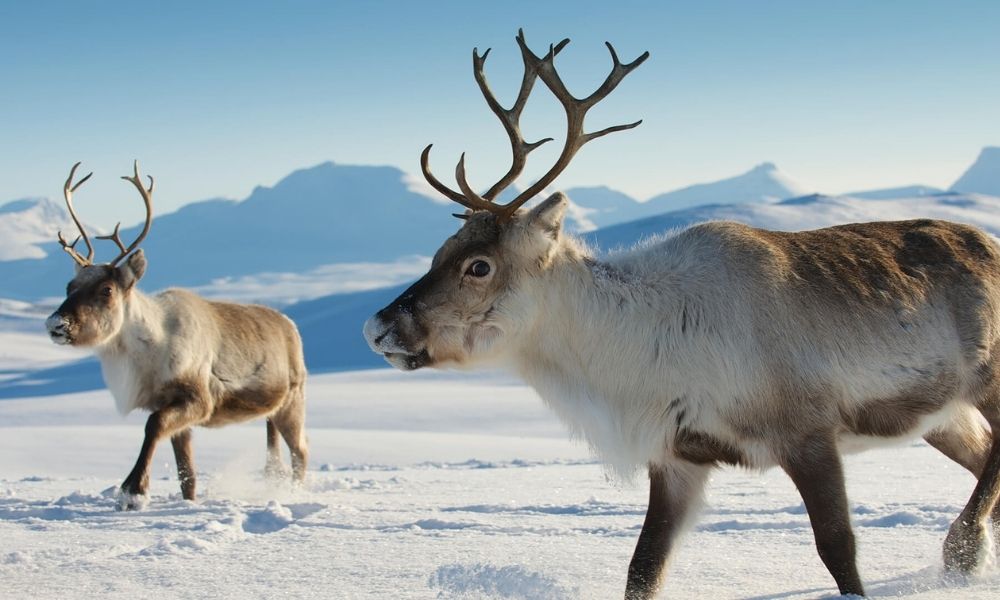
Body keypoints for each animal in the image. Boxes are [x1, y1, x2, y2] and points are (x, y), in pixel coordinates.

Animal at [45, 161, 308, 511]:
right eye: (69, 286)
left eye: (107, 289)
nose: (56, 324)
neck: (149, 351)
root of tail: (290, 325)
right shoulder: (172, 407)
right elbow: (187, 474)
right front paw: (185, 501)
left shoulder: (198, 399)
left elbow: (153, 425)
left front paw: (133, 491)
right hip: (274, 411)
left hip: (293, 400)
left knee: (301, 453)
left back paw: (293, 495)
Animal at [364, 30, 1000, 598]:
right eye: (438, 252)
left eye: (479, 266)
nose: (377, 326)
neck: (641, 348)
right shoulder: (678, 459)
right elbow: (642, 569)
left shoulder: (807, 431)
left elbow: (837, 548)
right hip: (941, 416)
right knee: (981, 458)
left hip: (986, 379)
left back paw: (964, 550)